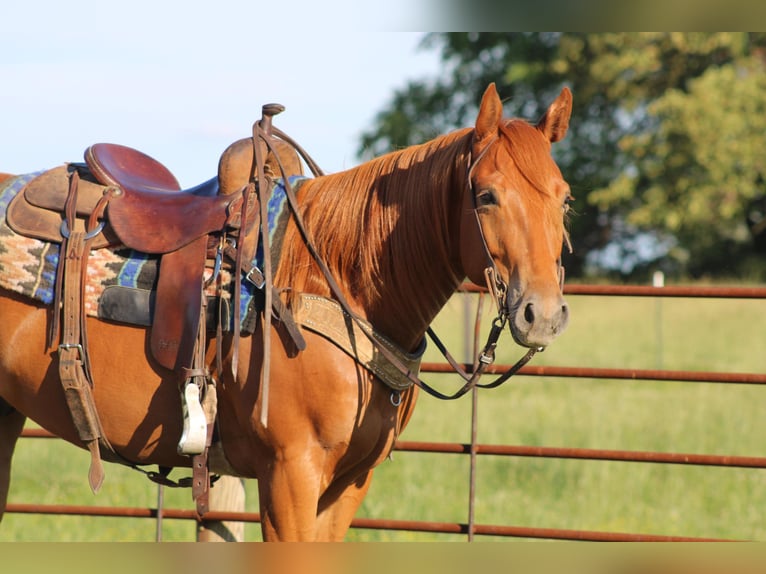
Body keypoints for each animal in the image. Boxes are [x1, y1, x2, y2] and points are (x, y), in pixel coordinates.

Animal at [0, 83, 576, 544]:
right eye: (486, 195)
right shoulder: (290, 473)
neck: (337, 281)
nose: (542, 315)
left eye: (565, 199)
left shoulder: (348, 483)